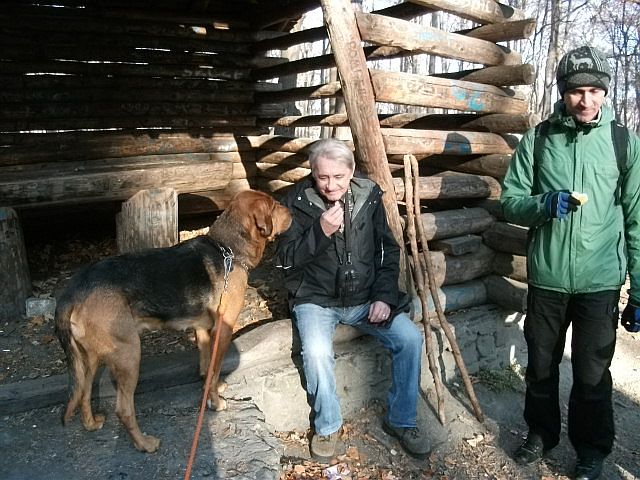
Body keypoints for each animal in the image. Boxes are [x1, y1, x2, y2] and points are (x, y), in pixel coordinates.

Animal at [54, 189, 292, 452]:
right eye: (274, 205)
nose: (292, 212)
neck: (227, 248)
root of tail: (73, 290)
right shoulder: (223, 329)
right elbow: (216, 368)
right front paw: (216, 403)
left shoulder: (202, 329)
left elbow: (207, 368)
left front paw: (210, 390)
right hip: (129, 354)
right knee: (123, 409)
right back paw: (145, 444)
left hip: (90, 358)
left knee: (84, 393)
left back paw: (92, 424)